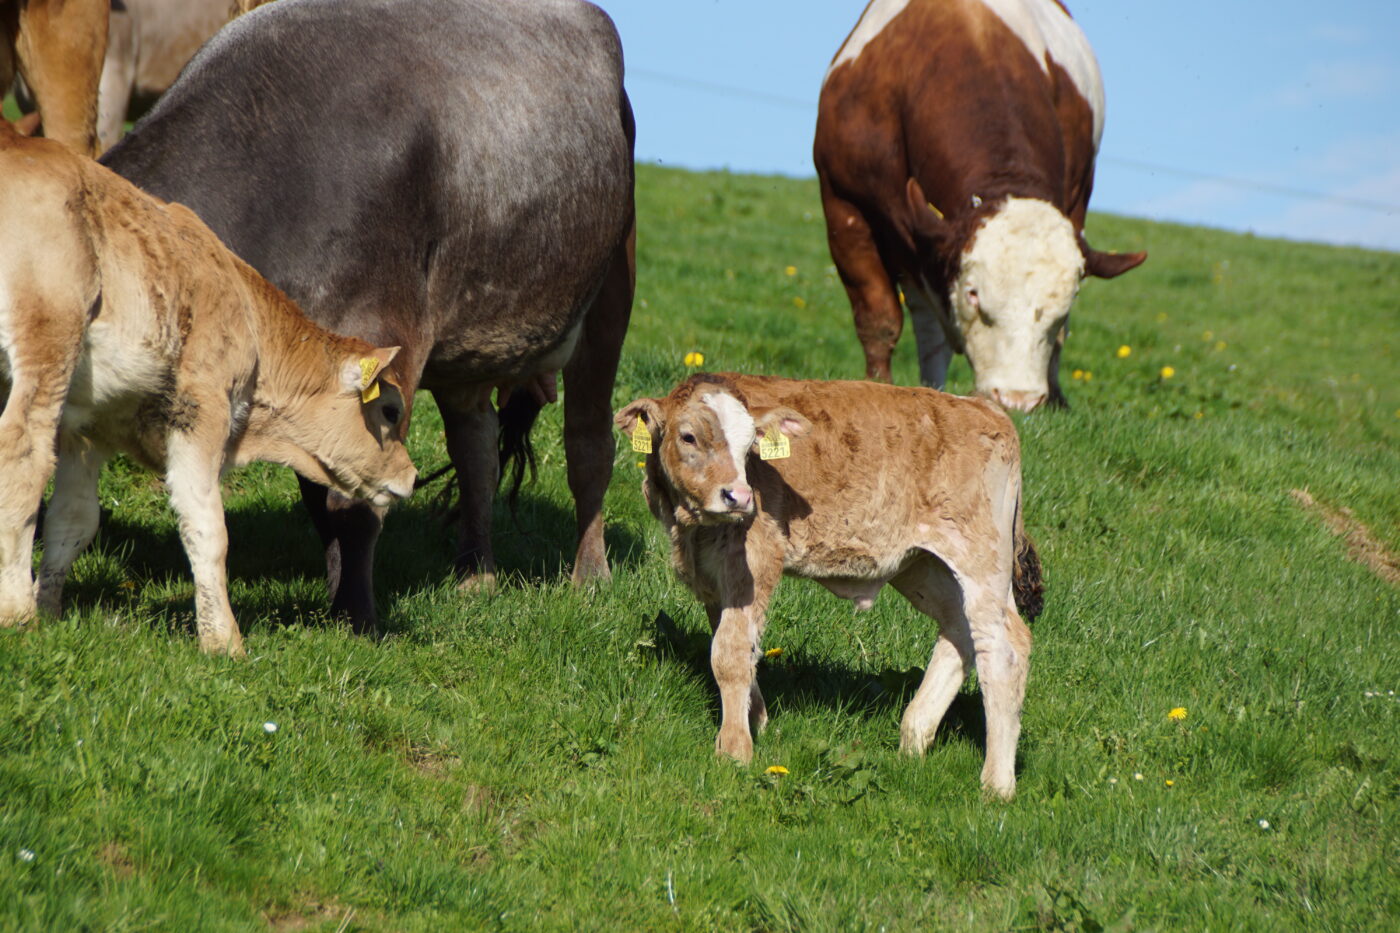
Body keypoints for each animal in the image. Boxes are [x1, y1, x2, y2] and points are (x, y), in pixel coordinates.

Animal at [0, 118, 414, 652]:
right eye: (389, 410)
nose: (411, 475)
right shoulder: (200, 411)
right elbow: (207, 528)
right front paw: (224, 641)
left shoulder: (87, 428)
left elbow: (73, 519)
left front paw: (51, 608)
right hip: (48, 337)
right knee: (21, 450)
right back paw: (16, 611)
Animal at [618, 375, 1047, 795]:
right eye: (689, 437)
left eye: (750, 443)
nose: (737, 496)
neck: (691, 528)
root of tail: (982, 407)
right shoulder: (709, 574)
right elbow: (736, 643)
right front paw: (757, 718)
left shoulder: (754, 562)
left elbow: (730, 653)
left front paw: (735, 749)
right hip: (923, 565)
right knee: (961, 628)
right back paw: (913, 738)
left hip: (981, 558)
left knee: (1004, 646)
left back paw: (996, 783)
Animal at [817, 0, 1142, 409]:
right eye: (973, 294)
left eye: (1066, 303)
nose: (1017, 398)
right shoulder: (844, 204)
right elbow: (878, 318)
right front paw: (877, 386)